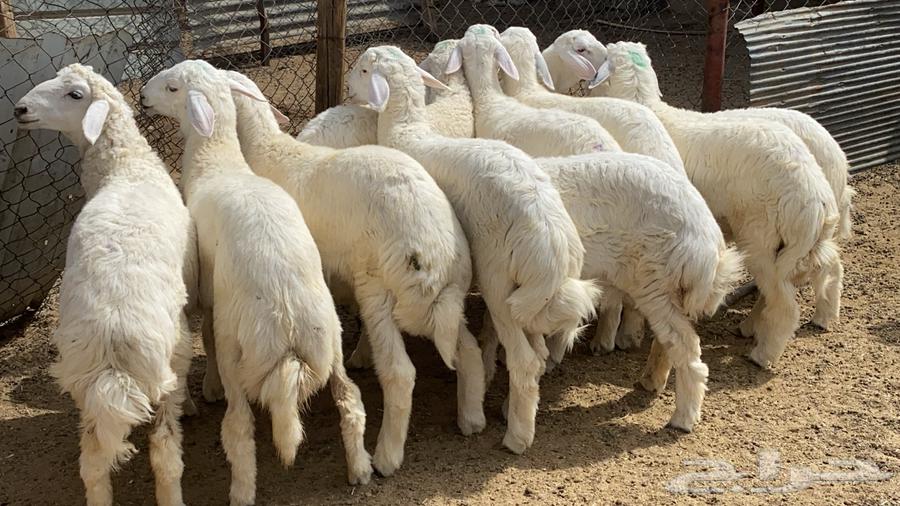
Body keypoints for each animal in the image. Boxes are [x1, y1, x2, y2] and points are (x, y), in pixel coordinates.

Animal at [14, 63, 196, 506]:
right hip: (167, 366)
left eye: (75, 94)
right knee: (165, 454)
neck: (125, 169)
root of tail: (114, 334)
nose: (19, 109)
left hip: (85, 386)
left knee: (93, 464)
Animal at [140, 59, 372, 505]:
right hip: (330, 341)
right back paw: (361, 469)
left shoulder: (208, 295)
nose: (141, 95)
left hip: (241, 351)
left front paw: (208, 386)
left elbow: (206, 338)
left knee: (238, 427)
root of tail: (289, 331)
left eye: (173, 87)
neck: (219, 162)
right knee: (350, 400)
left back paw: (241, 490)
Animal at [223, 68, 485, 476]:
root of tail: (433, 253)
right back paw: (472, 418)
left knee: (400, 373)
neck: (269, 151)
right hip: (446, 299)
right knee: (469, 350)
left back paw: (387, 456)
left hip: (378, 285)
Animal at [348, 45, 601, 454]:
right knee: (539, 352)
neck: (409, 133)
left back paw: (516, 437)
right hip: (535, 297)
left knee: (525, 360)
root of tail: (554, 252)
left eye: (364, 70)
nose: (348, 90)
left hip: (502, 283)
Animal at [592, 42, 843, 368]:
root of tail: (816, 195)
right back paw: (822, 316)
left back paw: (763, 353)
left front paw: (625, 335)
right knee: (831, 266)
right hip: (805, 243)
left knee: (784, 303)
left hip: (761, 238)